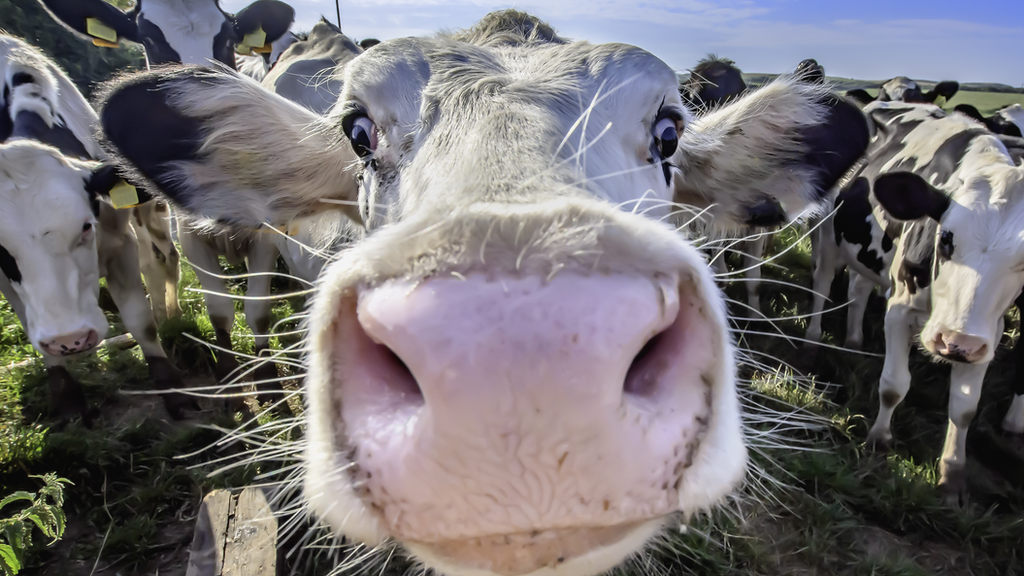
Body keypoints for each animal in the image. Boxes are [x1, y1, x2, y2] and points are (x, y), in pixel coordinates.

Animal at [798, 99, 1024, 494]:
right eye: (946, 238)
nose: (955, 342)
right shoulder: (899, 309)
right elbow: (893, 385)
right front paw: (878, 440)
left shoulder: (988, 334)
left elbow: (965, 408)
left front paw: (952, 473)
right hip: (827, 235)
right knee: (822, 286)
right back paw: (812, 343)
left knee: (858, 291)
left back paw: (854, 343)